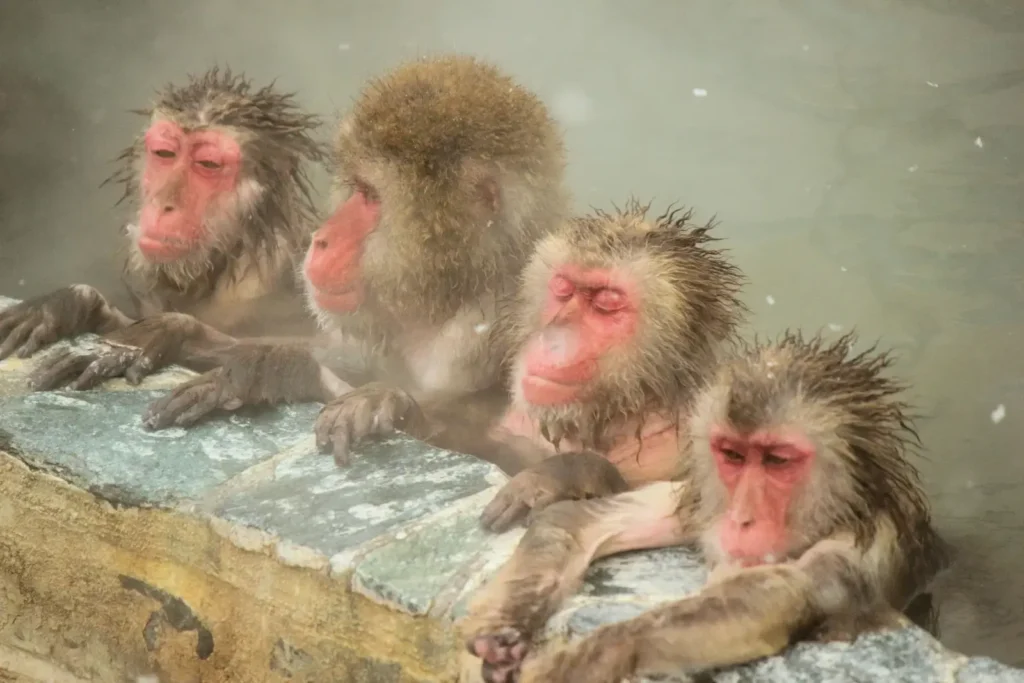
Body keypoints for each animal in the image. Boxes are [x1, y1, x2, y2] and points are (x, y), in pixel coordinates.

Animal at [137, 55, 572, 472]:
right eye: (357, 189)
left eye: (371, 196)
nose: (321, 238)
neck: (454, 295)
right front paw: (211, 341)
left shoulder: (488, 340)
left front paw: (383, 402)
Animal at [460, 331, 951, 683]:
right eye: (732, 455)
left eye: (777, 461)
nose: (741, 518)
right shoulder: (701, 498)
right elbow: (580, 520)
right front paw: (502, 627)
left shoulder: (866, 544)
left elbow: (776, 596)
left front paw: (593, 654)